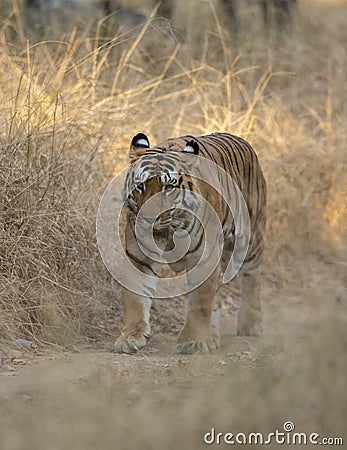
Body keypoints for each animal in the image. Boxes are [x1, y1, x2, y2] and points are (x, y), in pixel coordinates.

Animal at [115, 132, 268, 354]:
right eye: (140, 186)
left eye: (168, 187)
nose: (148, 219)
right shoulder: (138, 256)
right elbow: (135, 297)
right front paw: (130, 337)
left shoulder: (204, 257)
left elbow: (200, 300)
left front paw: (194, 341)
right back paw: (214, 334)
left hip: (249, 238)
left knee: (252, 277)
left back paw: (251, 325)